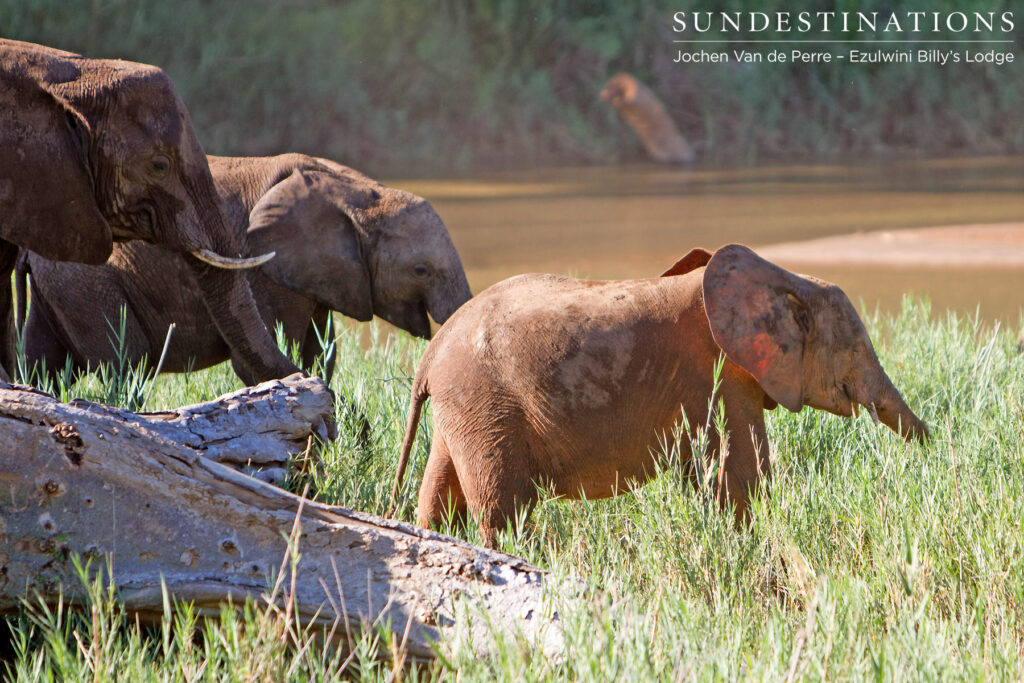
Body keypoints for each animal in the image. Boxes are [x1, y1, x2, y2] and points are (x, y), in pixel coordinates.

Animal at [16, 154, 473, 385]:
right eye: (420, 270)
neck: (358, 190)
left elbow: (320, 353)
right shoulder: (264, 272)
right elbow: (265, 359)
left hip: (61, 287)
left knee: (45, 366)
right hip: (87, 283)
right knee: (127, 366)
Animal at [390, 244, 929, 547]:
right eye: (855, 348)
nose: (937, 448)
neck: (782, 277)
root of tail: (430, 355)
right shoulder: (717, 377)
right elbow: (741, 476)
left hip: (464, 406)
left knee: (439, 495)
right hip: (486, 402)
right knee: (503, 509)